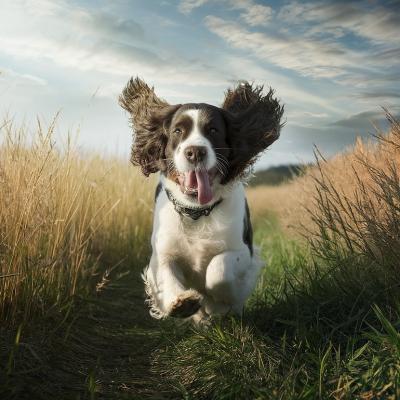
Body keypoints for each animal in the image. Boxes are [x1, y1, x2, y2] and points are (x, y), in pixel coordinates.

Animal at [119, 76, 284, 324]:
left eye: (213, 130)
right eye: (178, 130)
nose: (195, 152)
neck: (197, 212)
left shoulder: (244, 251)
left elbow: (219, 269)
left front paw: (219, 302)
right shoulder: (162, 252)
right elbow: (166, 274)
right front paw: (181, 303)